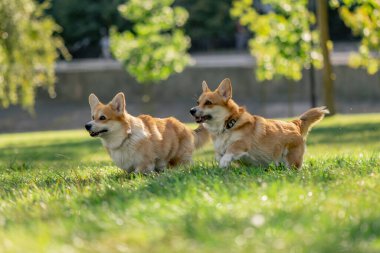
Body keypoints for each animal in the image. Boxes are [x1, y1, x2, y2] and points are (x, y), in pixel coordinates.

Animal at [191, 78, 328, 169]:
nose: (191, 110)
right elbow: (219, 155)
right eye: (198, 102)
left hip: (291, 158)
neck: (228, 125)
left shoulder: (243, 143)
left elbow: (231, 148)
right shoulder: (220, 149)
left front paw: (224, 161)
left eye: (208, 103)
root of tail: (293, 124)